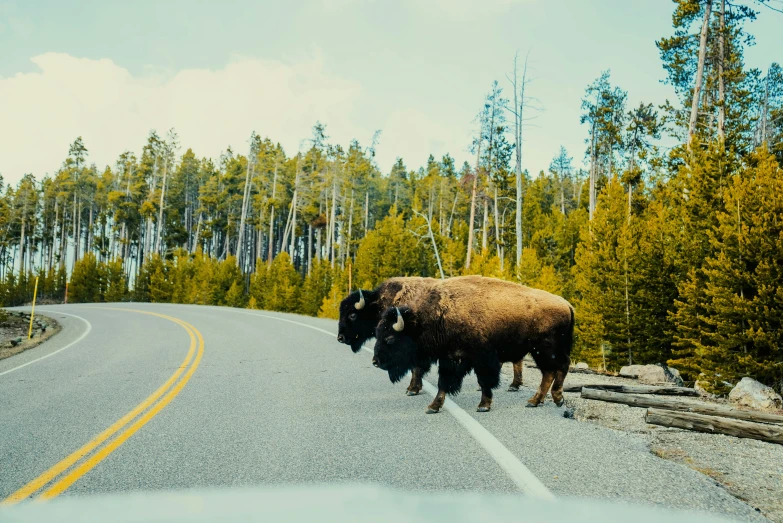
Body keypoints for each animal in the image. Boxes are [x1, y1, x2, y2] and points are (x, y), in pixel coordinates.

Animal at [336, 276, 524, 396]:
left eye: (352, 314)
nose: (340, 338)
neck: (378, 303)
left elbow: (416, 368)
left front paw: (412, 389)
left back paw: (512, 386)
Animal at [370, 276, 572, 416]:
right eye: (377, 334)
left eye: (390, 338)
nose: (375, 361)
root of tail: (567, 305)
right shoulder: (451, 359)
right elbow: (444, 383)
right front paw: (433, 406)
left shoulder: (482, 359)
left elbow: (484, 381)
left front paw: (483, 405)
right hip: (540, 352)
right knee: (549, 372)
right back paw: (535, 401)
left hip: (547, 350)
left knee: (560, 367)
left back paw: (557, 398)